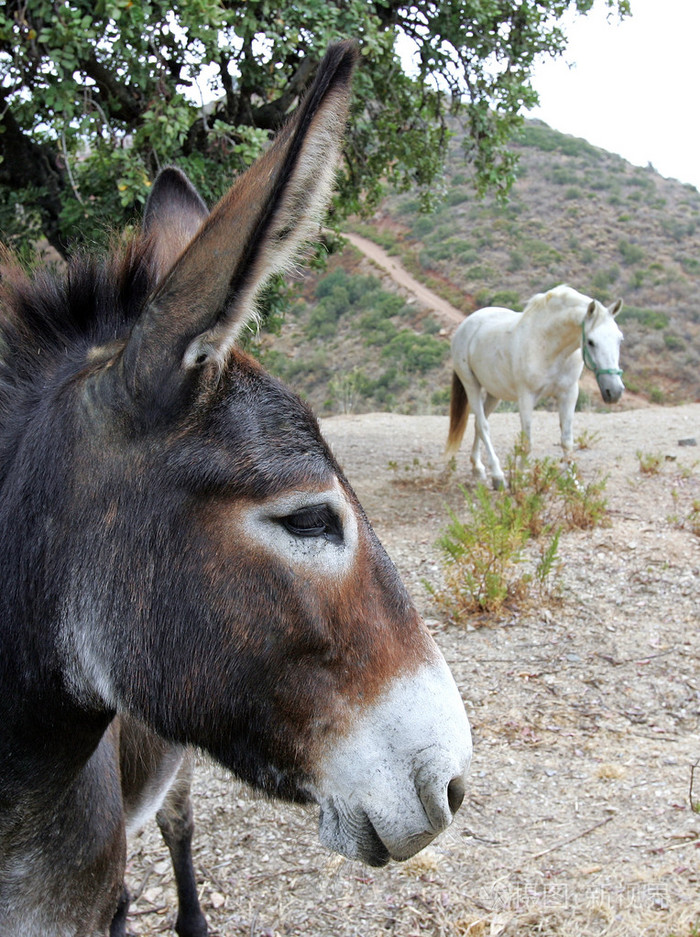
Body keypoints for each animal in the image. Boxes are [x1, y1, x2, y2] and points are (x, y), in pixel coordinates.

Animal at [445, 284, 624, 488]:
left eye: (620, 339)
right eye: (591, 342)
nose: (615, 391)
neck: (548, 345)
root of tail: (466, 324)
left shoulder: (569, 394)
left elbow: (567, 440)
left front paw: (573, 482)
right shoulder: (526, 397)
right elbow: (527, 442)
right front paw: (521, 478)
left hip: (494, 393)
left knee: (478, 424)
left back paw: (478, 468)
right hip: (471, 386)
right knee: (483, 425)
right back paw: (497, 475)